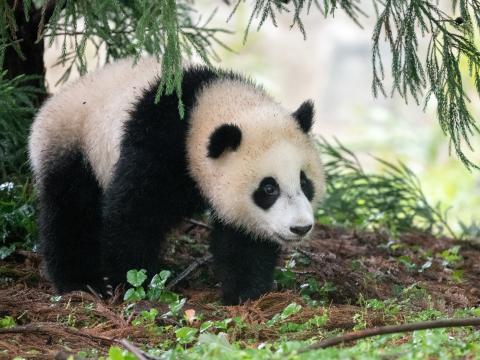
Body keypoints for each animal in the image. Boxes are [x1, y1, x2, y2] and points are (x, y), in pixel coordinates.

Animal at [28, 57, 324, 304]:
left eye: (304, 182)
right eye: (268, 188)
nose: (300, 228)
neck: (202, 105)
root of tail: (48, 107)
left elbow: (243, 239)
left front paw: (245, 293)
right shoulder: (156, 142)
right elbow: (133, 213)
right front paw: (133, 282)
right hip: (74, 144)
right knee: (71, 212)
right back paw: (81, 283)